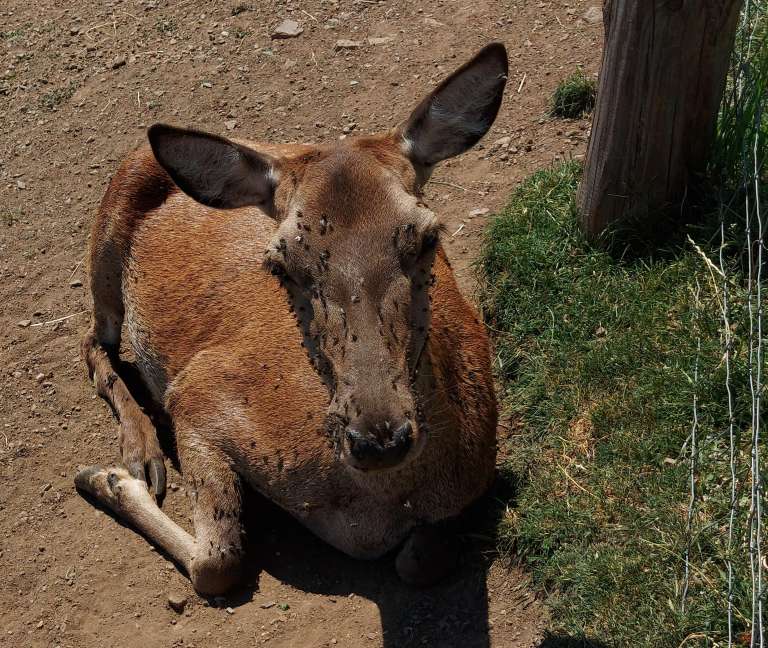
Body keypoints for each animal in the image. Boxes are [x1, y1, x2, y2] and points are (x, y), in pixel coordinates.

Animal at [75, 43, 508, 596]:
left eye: (428, 236)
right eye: (281, 262)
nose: (379, 438)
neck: (371, 512)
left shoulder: (473, 487)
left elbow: (421, 561)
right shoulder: (197, 394)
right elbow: (218, 562)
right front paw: (105, 478)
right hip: (104, 248)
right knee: (93, 340)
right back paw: (139, 453)